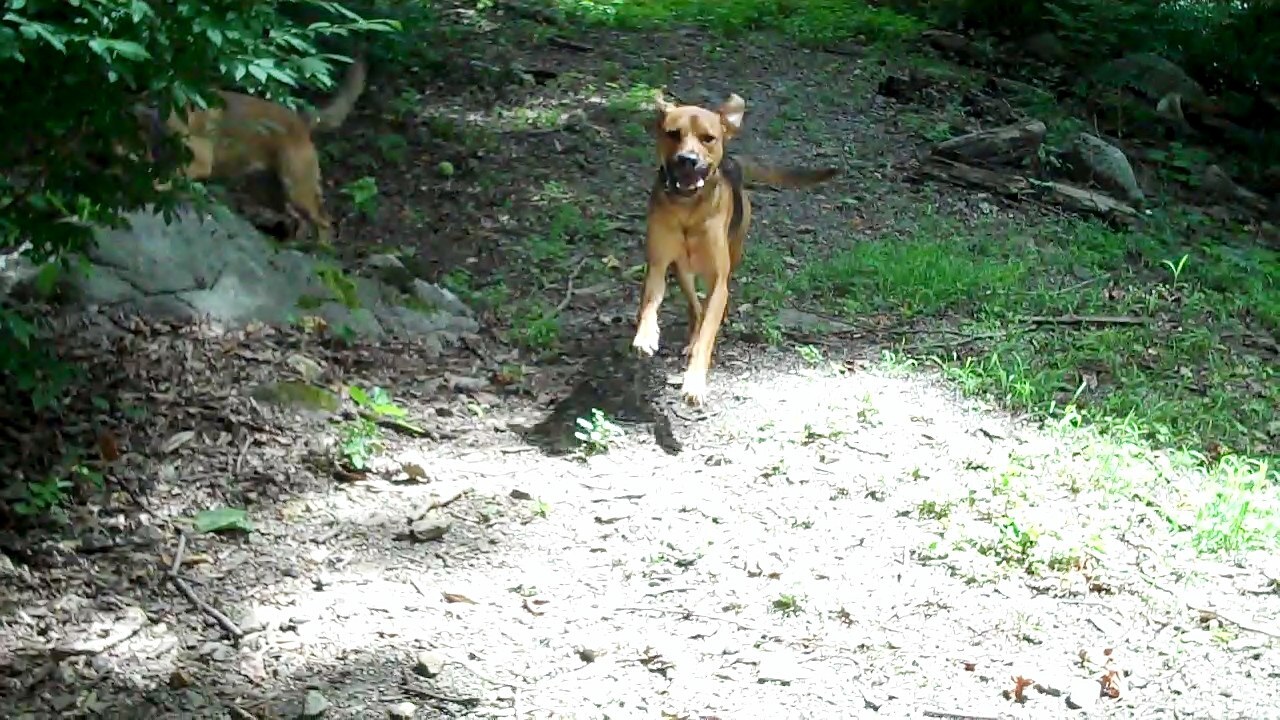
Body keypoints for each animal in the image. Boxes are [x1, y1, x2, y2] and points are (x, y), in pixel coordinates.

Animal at [632, 90, 839, 404]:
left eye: (708, 138)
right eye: (673, 134)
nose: (687, 160)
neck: (688, 209)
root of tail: (734, 164)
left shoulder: (718, 280)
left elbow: (708, 333)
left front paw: (694, 381)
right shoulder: (658, 264)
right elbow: (649, 304)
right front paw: (646, 335)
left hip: (733, 252)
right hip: (683, 269)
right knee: (695, 306)